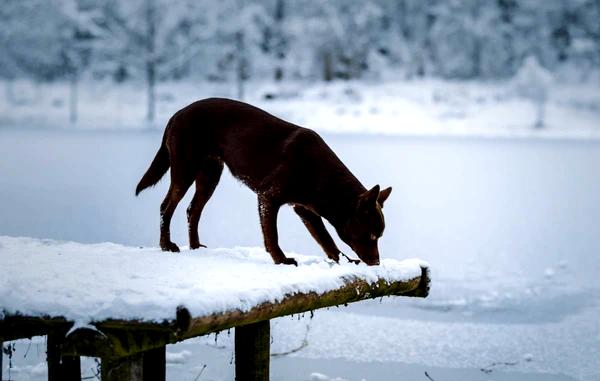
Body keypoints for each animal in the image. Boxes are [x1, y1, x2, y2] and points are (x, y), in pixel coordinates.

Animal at [135, 97, 390, 264]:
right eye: (371, 235)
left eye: (379, 237)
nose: (377, 263)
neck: (323, 179)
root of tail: (177, 113)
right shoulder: (269, 198)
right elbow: (272, 235)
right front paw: (281, 259)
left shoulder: (304, 209)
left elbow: (325, 239)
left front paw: (344, 260)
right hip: (185, 168)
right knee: (166, 206)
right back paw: (167, 246)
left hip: (210, 173)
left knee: (192, 209)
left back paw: (195, 246)